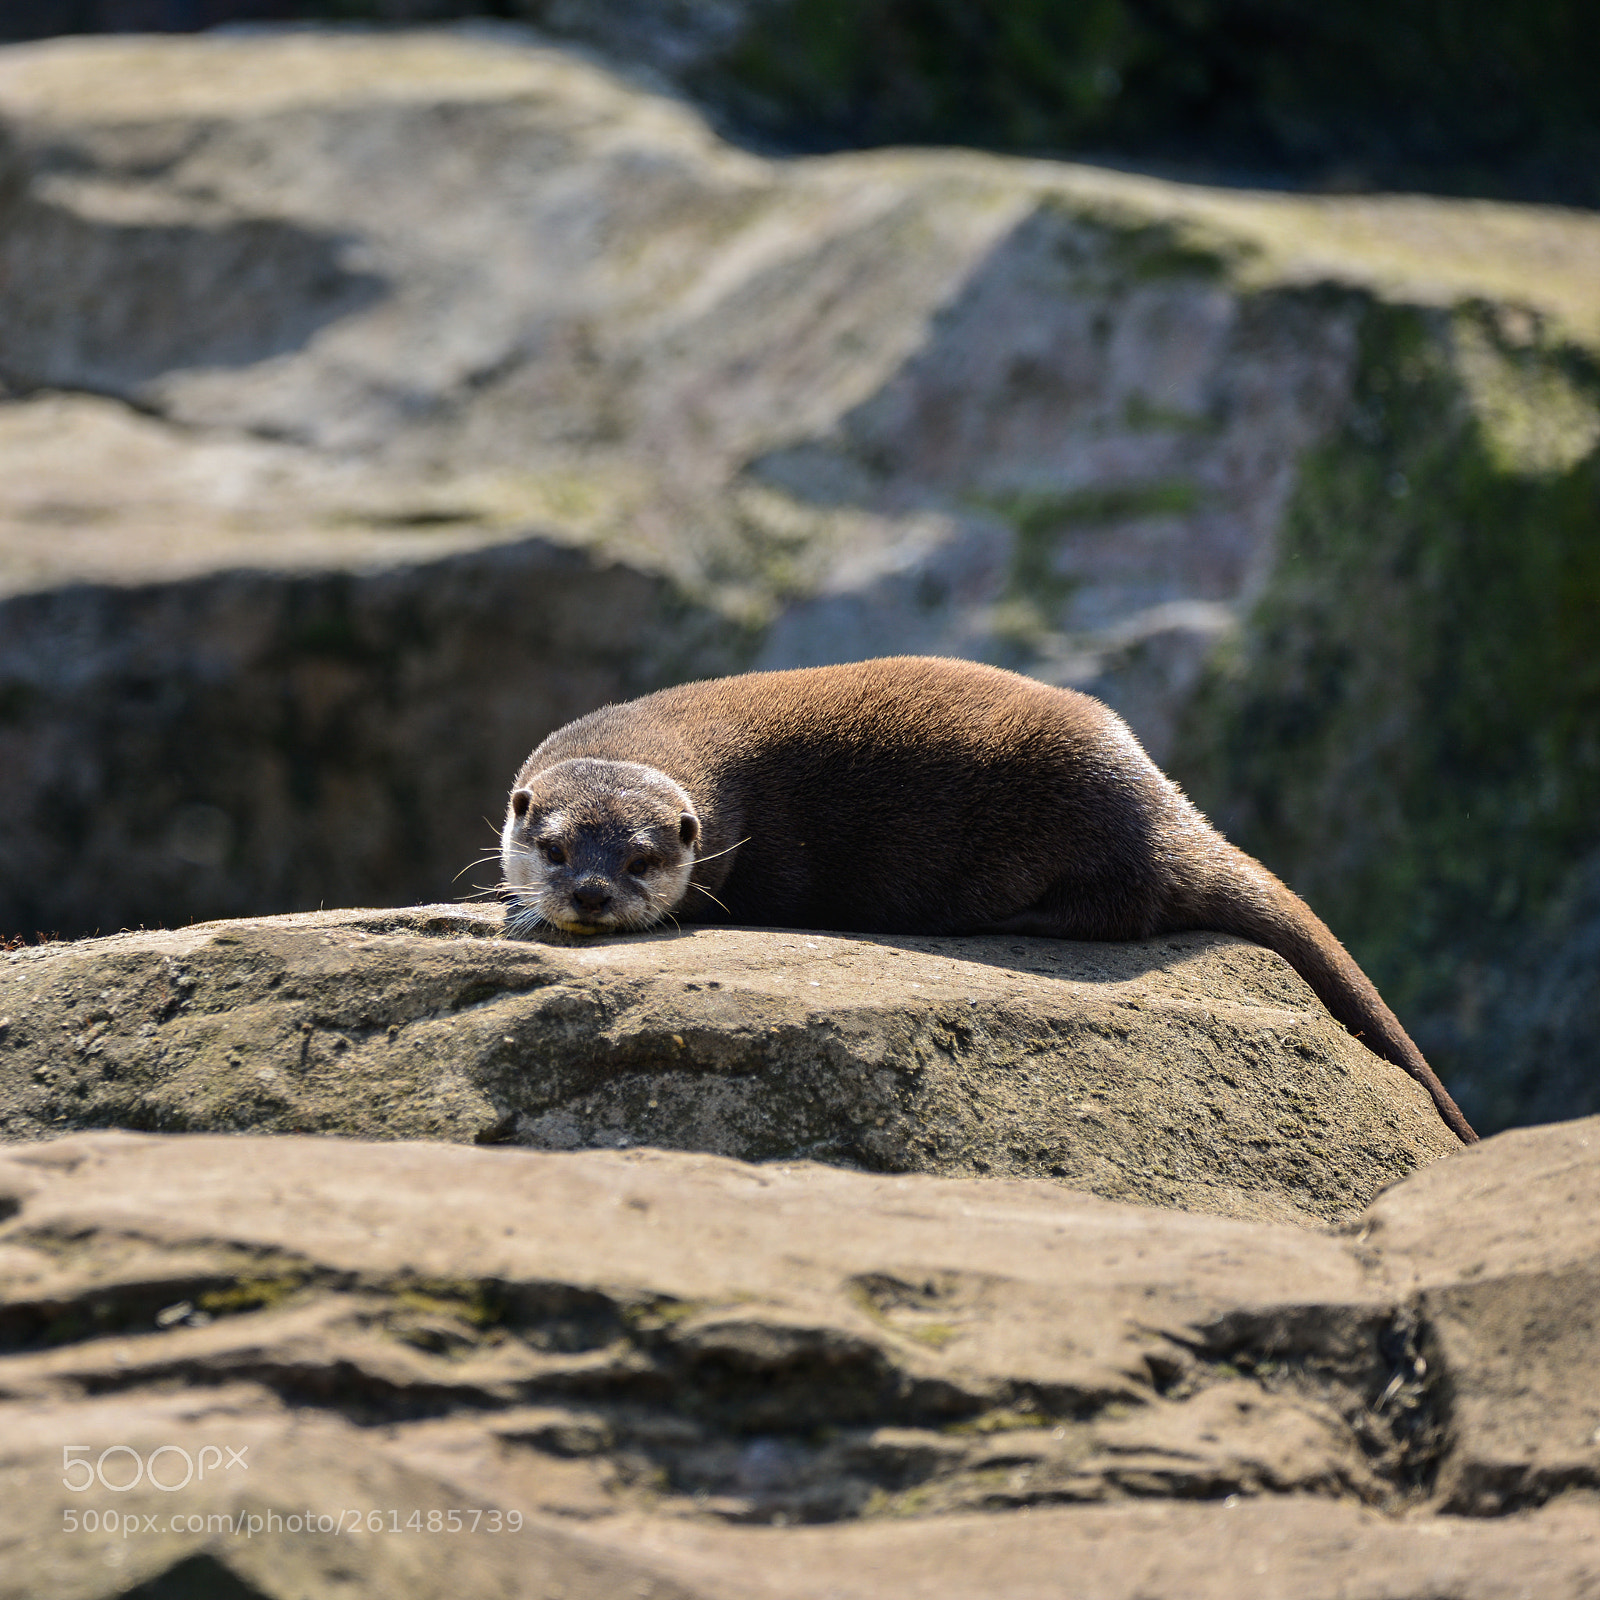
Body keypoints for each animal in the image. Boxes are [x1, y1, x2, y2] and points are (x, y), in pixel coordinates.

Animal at [501, 656, 1477, 1144]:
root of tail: (1162, 798)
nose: (589, 893)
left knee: (1123, 909)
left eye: (641, 859)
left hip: (1083, 817)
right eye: (552, 848)